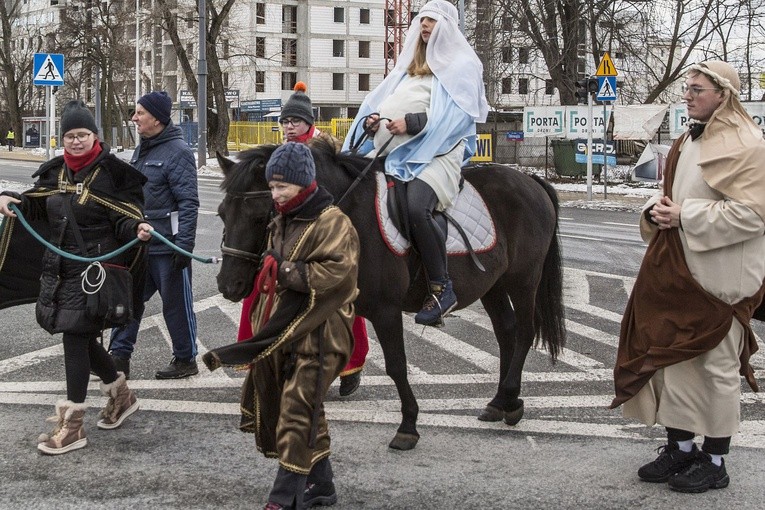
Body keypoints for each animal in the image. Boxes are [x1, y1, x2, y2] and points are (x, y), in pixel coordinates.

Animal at [215, 139, 568, 450]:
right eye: (221, 213)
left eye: (260, 216)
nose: (229, 284)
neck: (345, 213)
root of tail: (531, 181)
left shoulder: (385, 311)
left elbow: (396, 365)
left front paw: (408, 426)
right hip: (493, 285)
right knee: (506, 332)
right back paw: (502, 401)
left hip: (523, 280)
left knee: (524, 332)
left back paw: (509, 397)